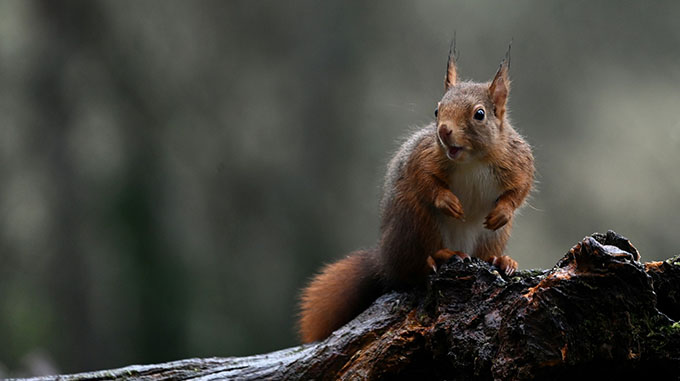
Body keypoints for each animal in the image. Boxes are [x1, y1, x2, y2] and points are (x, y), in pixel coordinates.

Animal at [300, 46, 532, 342]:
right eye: (437, 110)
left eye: (479, 114)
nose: (443, 131)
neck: (472, 160)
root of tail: (384, 261)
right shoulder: (423, 156)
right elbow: (423, 179)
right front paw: (448, 201)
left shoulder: (518, 159)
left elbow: (520, 188)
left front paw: (502, 212)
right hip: (416, 222)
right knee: (411, 271)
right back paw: (440, 257)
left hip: (490, 237)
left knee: (482, 253)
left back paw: (500, 260)